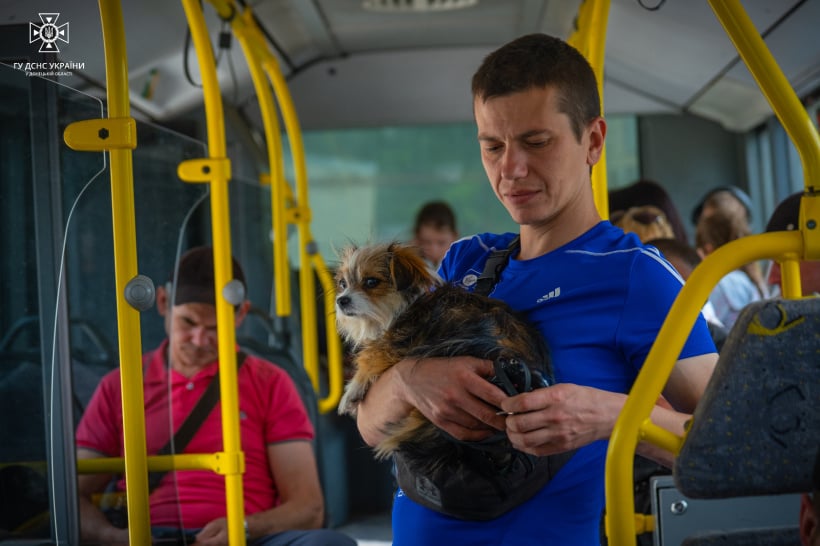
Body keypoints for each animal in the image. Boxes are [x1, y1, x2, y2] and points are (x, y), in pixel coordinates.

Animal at [332, 241, 552, 464]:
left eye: (371, 282)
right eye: (343, 284)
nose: (341, 300)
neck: (402, 309)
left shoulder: (399, 341)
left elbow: (370, 357)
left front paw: (351, 392)